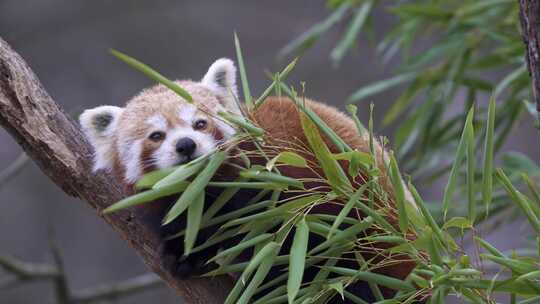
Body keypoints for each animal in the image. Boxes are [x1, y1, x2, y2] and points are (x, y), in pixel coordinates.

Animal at [79, 58, 418, 302]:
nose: (186, 145)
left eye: (200, 123)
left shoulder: (288, 181)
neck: (205, 191)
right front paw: (185, 255)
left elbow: (300, 239)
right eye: (156, 135)